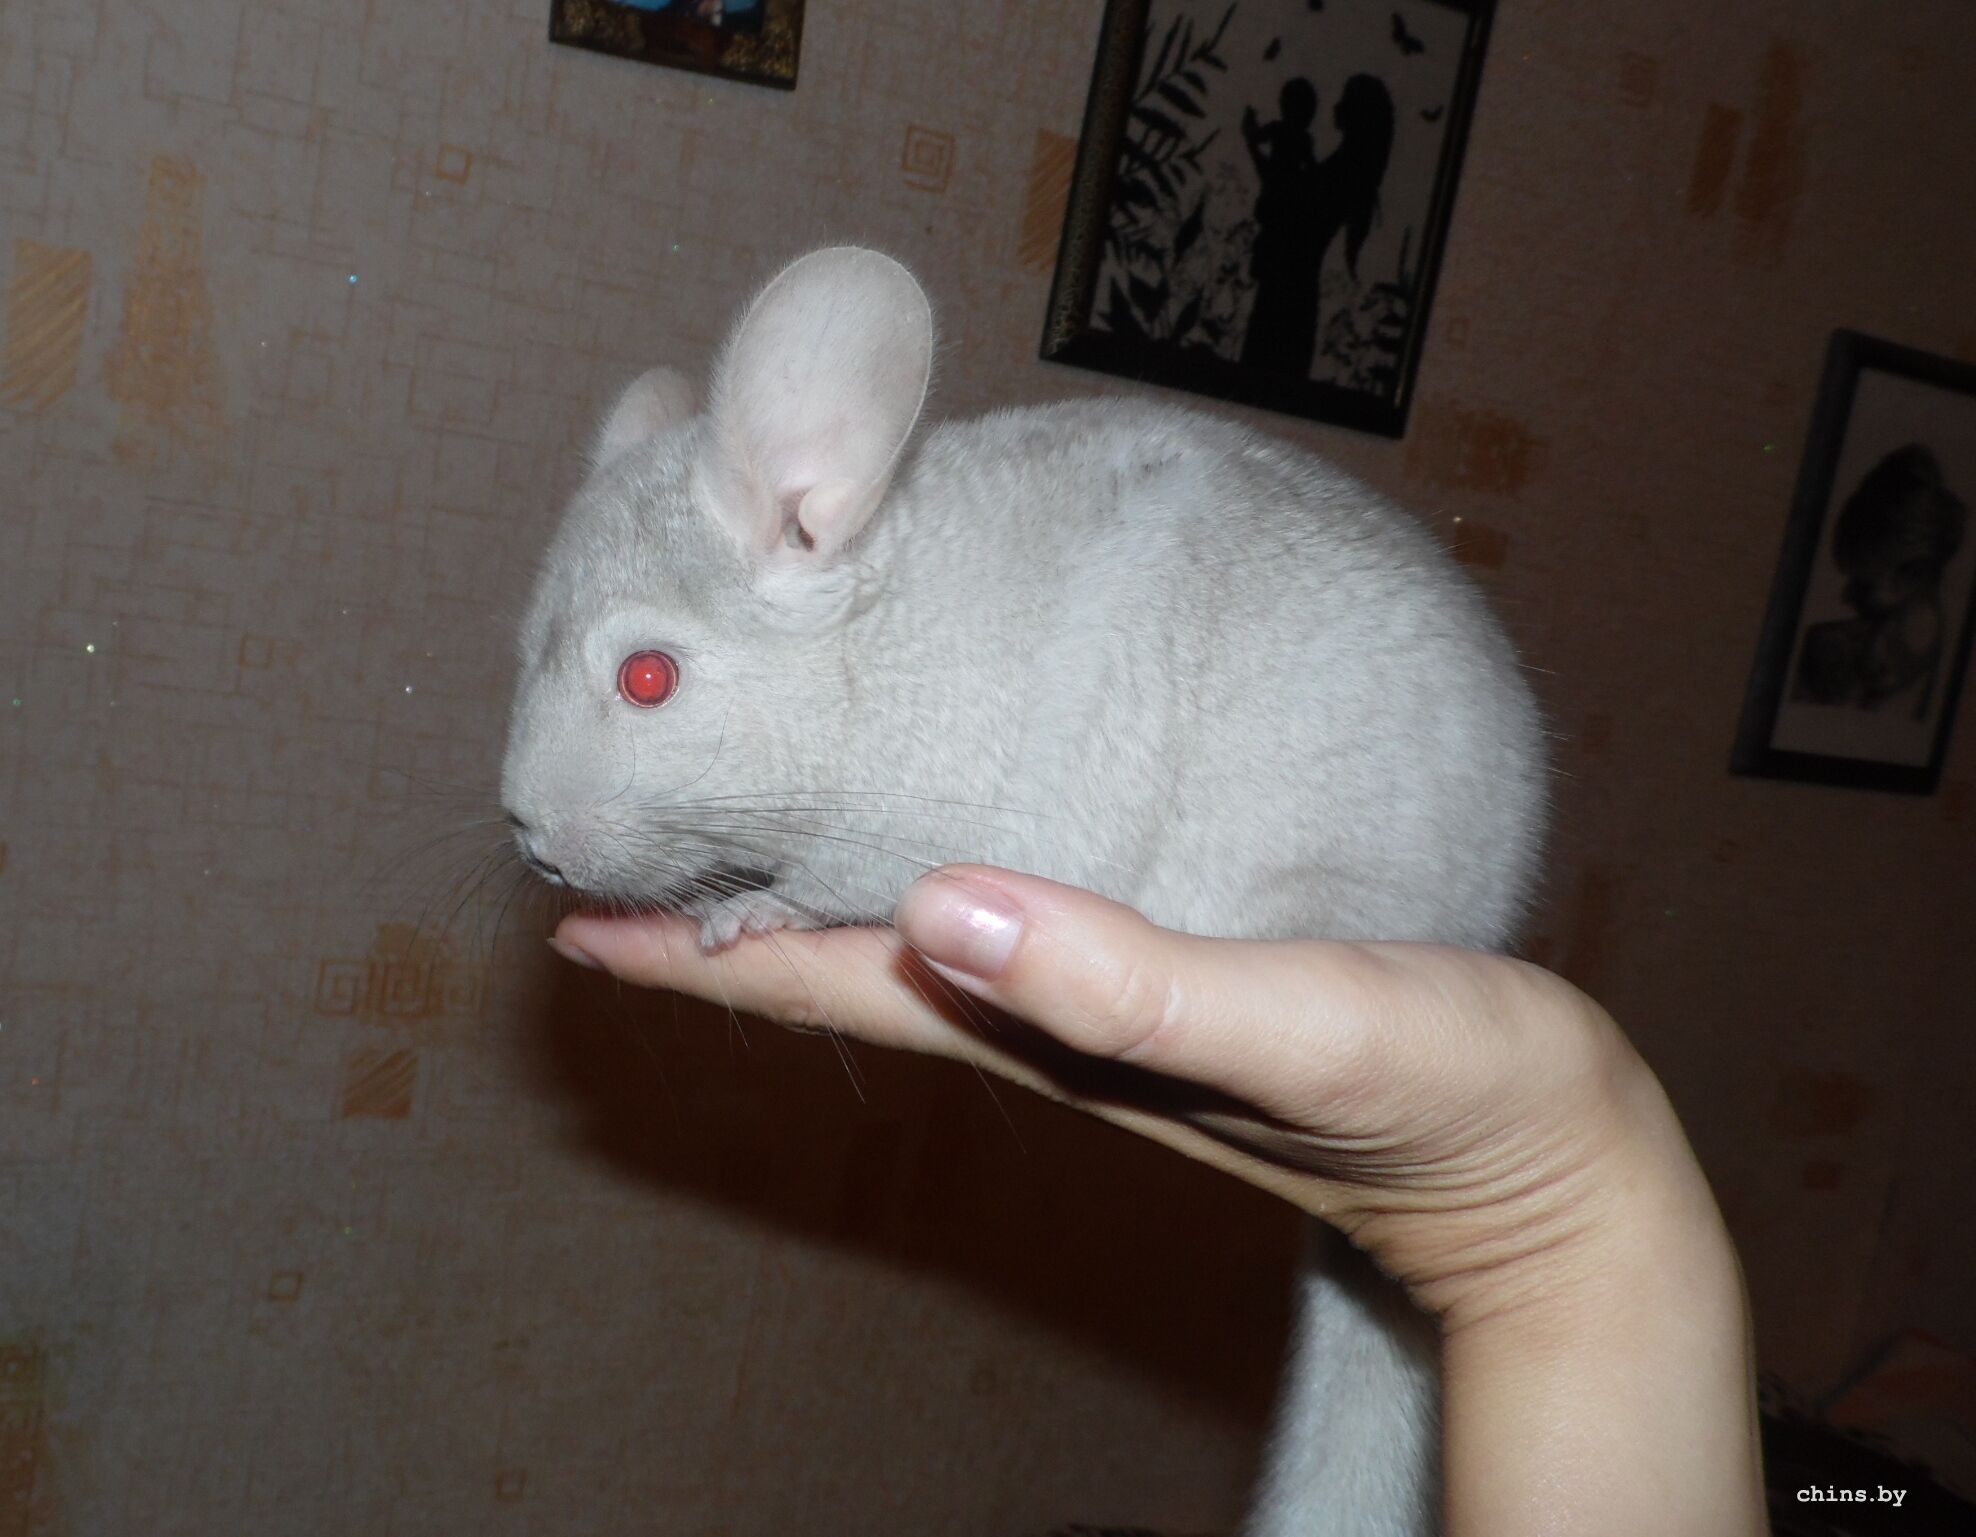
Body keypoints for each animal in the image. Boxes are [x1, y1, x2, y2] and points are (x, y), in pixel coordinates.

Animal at [500, 247, 1547, 1536]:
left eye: (647, 677)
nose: (530, 838)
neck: (861, 655)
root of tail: (1481, 910)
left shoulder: (897, 837)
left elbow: (818, 887)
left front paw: (744, 914)